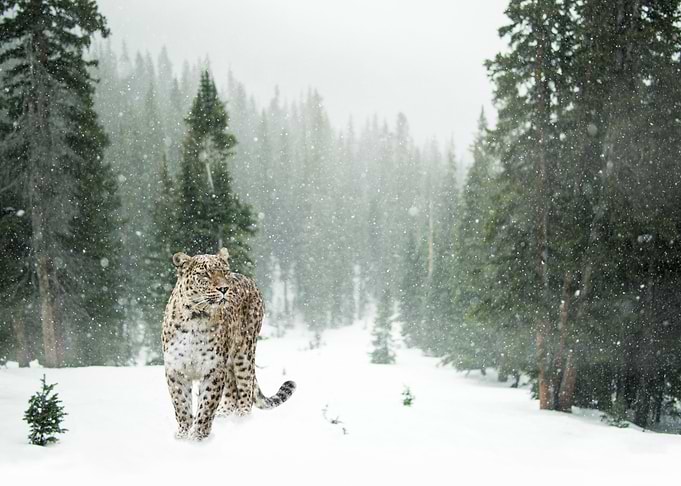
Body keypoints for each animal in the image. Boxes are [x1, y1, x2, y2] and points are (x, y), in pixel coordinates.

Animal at [162, 247, 296, 440]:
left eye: (224, 272)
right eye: (205, 274)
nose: (224, 288)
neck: (196, 318)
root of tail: (248, 279)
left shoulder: (213, 369)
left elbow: (207, 405)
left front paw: (198, 437)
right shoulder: (176, 369)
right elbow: (181, 404)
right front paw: (183, 435)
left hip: (244, 353)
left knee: (245, 389)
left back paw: (242, 421)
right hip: (231, 362)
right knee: (232, 391)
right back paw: (224, 415)